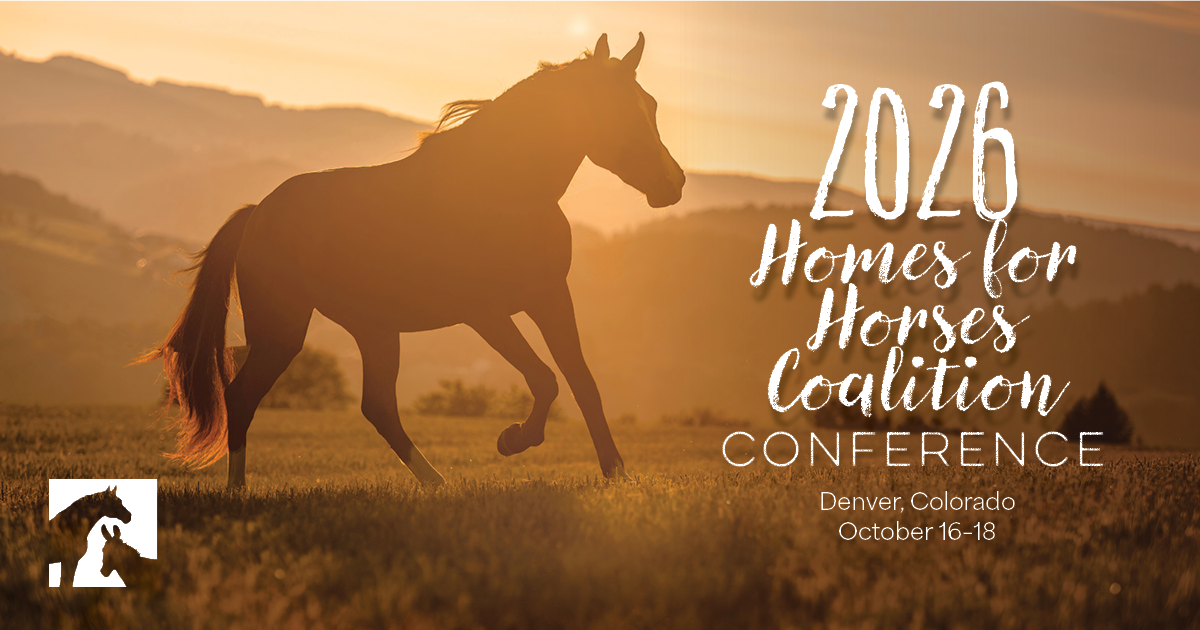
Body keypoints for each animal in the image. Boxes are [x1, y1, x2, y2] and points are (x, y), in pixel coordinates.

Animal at [142, 33, 685, 488]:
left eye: (652, 105)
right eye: (618, 108)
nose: (674, 183)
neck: (508, 190)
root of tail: (257, 214)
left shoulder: (550, 297)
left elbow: (582, 383)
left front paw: (616, 471)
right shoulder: (486, 313)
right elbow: (546, 379)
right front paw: (513, 440)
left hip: (374, 330)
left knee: (377, 406)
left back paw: (437, 483)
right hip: (284, 332)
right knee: (242, 397)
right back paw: (237, 491)